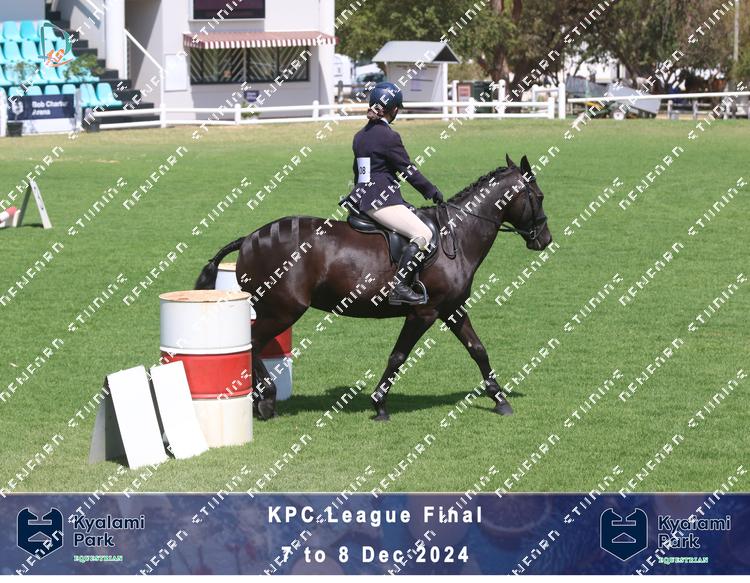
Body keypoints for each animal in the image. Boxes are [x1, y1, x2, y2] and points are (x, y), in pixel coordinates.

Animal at [195, 154, 553, 421]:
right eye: (539, 197)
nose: (545, 240)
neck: (457, 235)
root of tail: (250, 238)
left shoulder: (452, 309)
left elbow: (478, 349)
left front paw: (500, 400)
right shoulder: (424, 313)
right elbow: (398, 356)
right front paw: (379, 404)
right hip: (282, 309)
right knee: (254, 342)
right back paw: (266, 400)